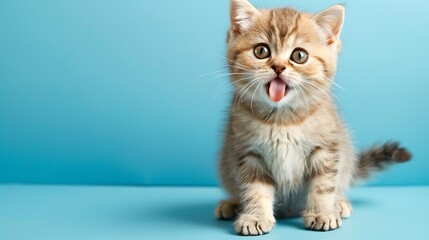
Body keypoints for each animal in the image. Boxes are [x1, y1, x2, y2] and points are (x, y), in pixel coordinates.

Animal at [216, 0, 410, 235]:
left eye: (299, 56)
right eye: (261, 51)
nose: (278, 67)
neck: (282, 119)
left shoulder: (326, 149)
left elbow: (323, 185)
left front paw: (322, 213)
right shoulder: (248, 153)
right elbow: (255, 189)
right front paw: (255, 217)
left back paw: (339, 203)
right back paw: (231, 204)